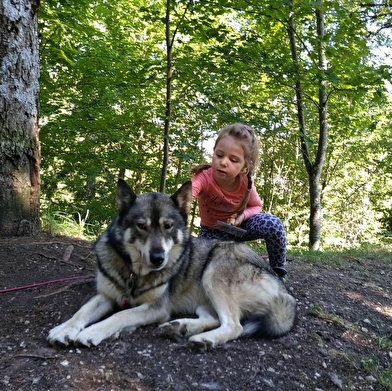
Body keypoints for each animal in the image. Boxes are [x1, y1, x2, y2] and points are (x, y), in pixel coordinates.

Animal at [46, 179, 298, 350]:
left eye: (168, 226)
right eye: (142, 226)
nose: (158, 258)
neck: (134, 274)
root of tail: (283, 290)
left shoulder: (157, 307)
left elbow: (119, 316)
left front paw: (94, 331)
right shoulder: (106, 296)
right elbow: (82, 312)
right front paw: (64, 329)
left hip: (213, 271)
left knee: (234, 326)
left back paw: (203, 339)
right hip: (203, 299)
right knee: (214, 318)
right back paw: (181, 327)